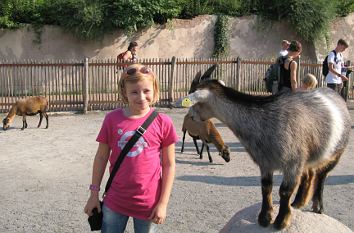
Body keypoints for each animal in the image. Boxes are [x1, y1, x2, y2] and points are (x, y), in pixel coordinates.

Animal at [183, 79, 352, 229]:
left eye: (195, 102)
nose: (190, 116)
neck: (265, 121)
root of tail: (336, 95)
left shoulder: (293, 163)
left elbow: (284, 191)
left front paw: (281, 222)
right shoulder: (265, 162)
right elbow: (266, 187)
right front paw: (264, 218)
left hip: (335, 153)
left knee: (322, 177)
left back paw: (318, 207)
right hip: (308, 157)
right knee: (309, 175)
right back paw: (298, 202)